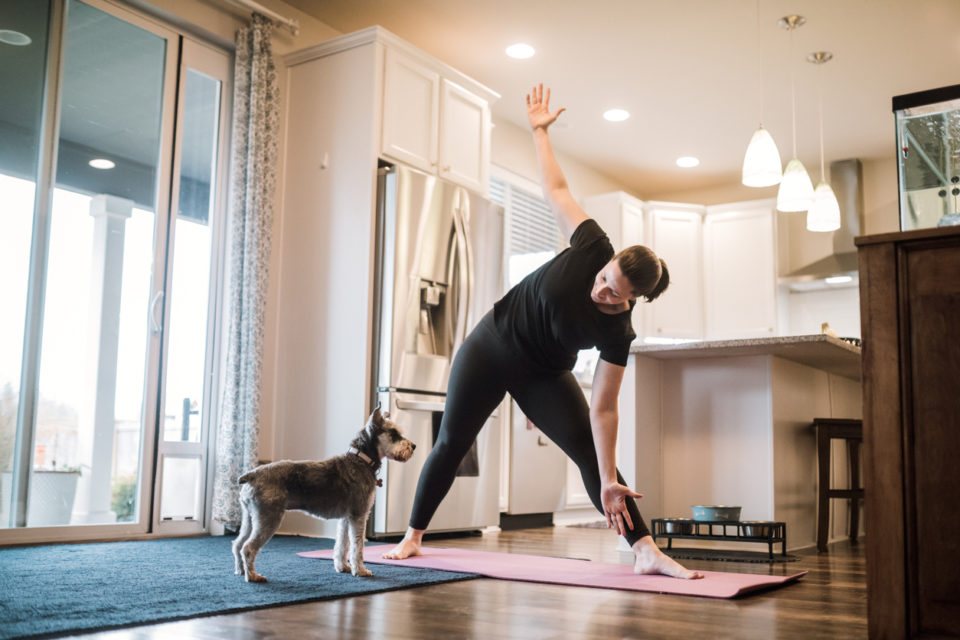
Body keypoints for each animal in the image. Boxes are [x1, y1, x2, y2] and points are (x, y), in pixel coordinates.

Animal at [233, 408, 416, 584]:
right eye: (394, 433)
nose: (413, 446)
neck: (362, 460)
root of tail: (252, 475)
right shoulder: (359, 515)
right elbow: (357, 546)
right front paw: (360, 570)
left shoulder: (346, 518)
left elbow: (342, 544)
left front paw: (343, 567)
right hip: (269, 519)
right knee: (248, 548)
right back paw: (253, 576)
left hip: (250, 519)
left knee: (238, 544)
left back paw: (241, 571)